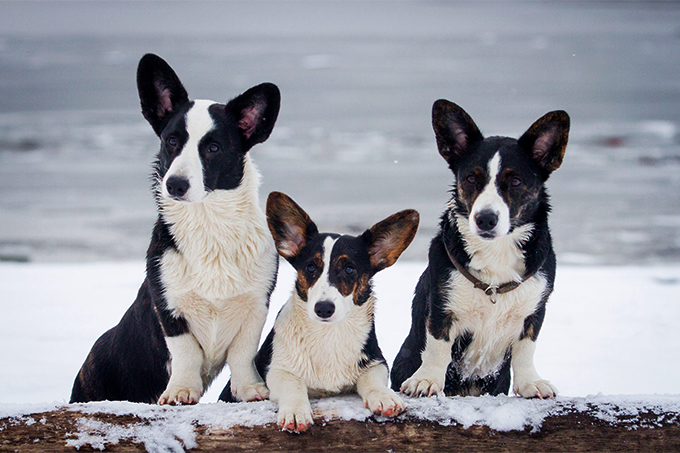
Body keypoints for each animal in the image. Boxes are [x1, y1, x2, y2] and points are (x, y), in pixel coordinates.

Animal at [68, 54, 278, 404]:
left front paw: (251, 389)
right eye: (172, 141)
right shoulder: (168, 305)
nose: (175, 185)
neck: (208, 224)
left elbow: (243, 353)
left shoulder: (256, 304)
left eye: (213, 148)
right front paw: (181, 391)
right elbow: (185, 352)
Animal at [220, 191, 418, 430]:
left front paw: (384, 397)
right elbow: (293, 384)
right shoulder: (277, 370)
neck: (327, 334)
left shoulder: (376, 362)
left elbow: (372, 379)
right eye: (311, 267)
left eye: (349, 269)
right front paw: (295, 412)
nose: (324, 308)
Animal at [388, 100, 568, 398]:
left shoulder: (534, 311)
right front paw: (426, 380)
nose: (485, 219)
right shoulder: (442, 305)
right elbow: (438, 346)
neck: (496, 250)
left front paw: (531, 383)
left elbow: (526, 348)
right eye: (472, 179)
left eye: (515, 181)